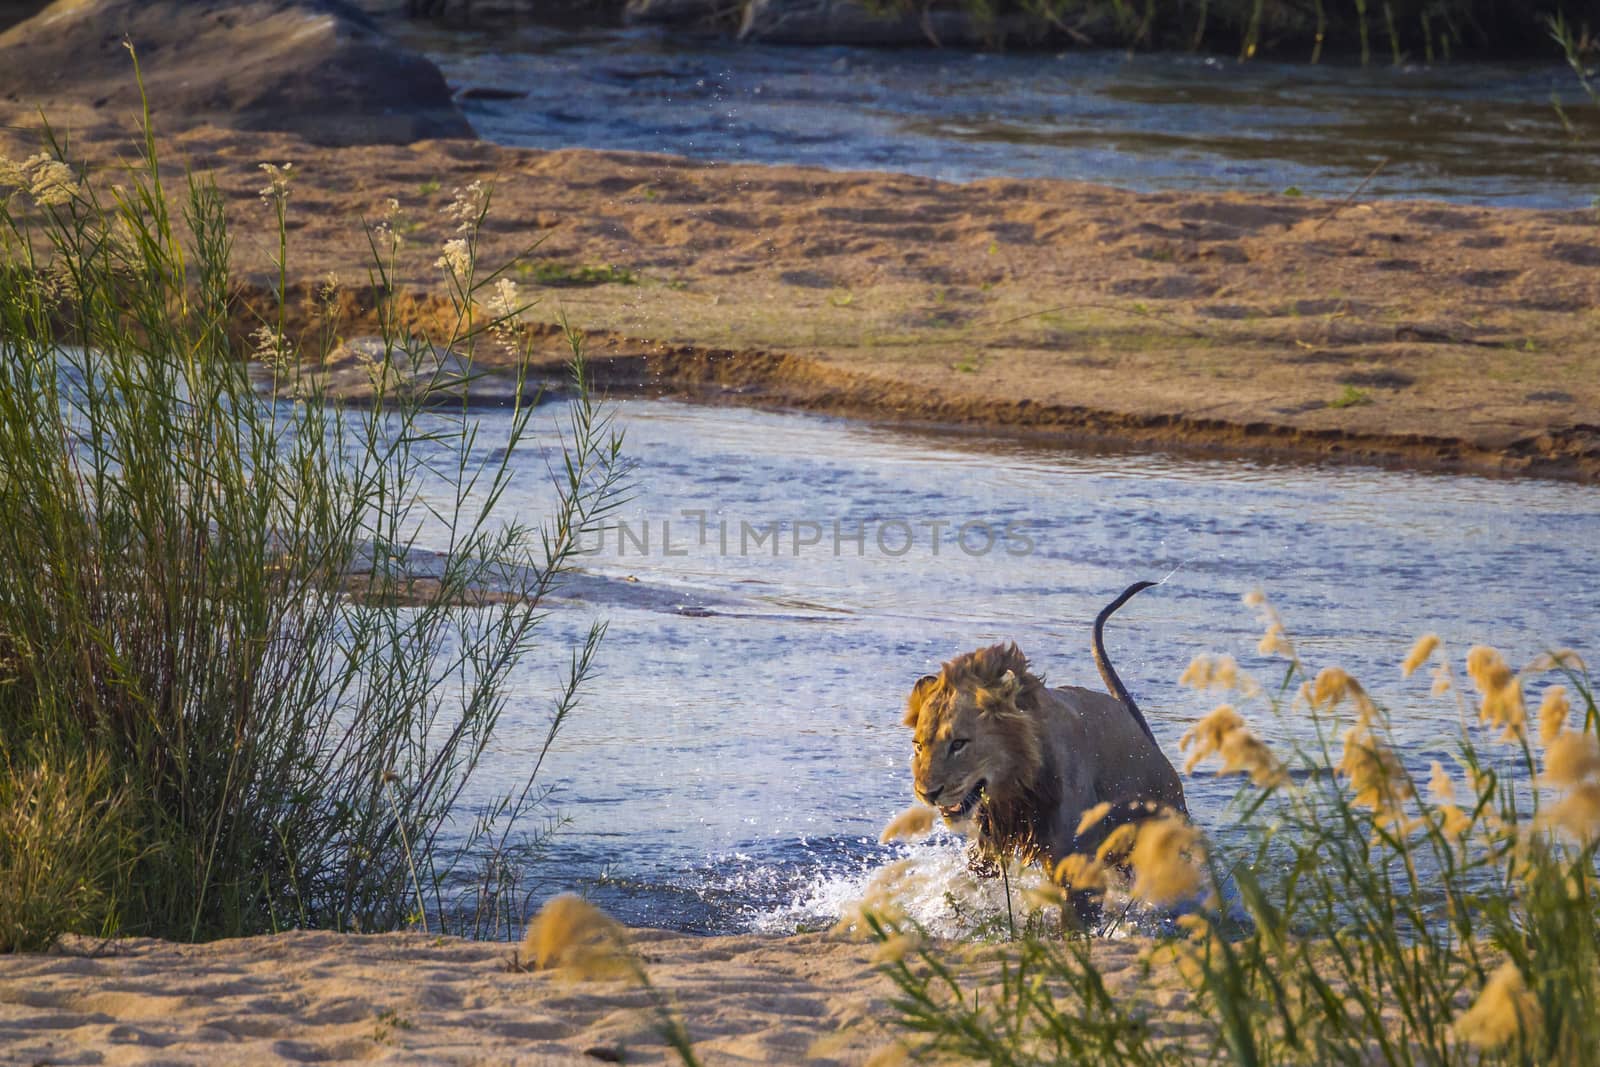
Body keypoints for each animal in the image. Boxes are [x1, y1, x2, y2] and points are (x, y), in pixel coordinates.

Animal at [908, 579, 1184, 921]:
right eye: (919, 746)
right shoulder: (988, 845)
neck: (1017, 787)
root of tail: (1146, 739)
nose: (927, 793)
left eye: (958, 743)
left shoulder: (1075, 864)